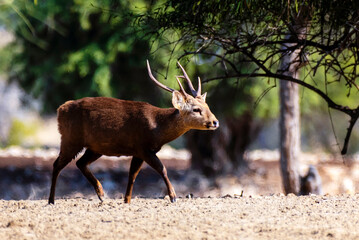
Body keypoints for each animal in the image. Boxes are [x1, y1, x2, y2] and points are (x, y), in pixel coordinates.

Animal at [48, 60, 219, 204]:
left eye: (208, 106)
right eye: (196, 109)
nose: (215, 122)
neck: (157, 128)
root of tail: (60, 110)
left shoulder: (138, 151)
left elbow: (132, 175)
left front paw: (127, 200)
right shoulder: (143, 147)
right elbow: (162, 168)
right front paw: (173, 197)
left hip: (95, 146)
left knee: (80, 163)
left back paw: (101, 194)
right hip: (70, 138)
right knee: (57, 164)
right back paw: (51, 200)